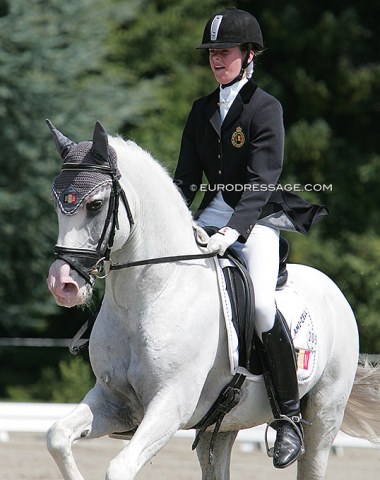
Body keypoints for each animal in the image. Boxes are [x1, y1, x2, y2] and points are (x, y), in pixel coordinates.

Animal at [46, 122, 378, 480]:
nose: (62, 285)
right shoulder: (113, 400)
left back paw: (288, 437)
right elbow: (57, 436)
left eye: (95, 204)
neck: (154, 294)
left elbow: (119, 467)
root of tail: (331, 288)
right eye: (56, 203)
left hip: (324, 417)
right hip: (221, 426)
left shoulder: (171, 404)